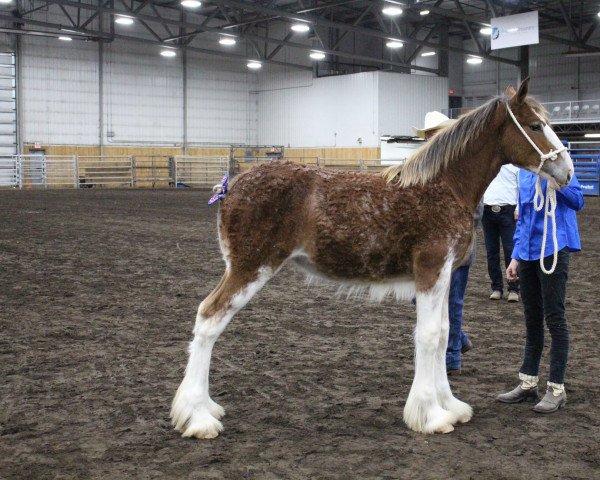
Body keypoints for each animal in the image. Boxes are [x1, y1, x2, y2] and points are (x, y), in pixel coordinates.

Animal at [172, 81, 572, 438]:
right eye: (535, 126)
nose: (567, 171)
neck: (443, 186)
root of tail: (232, 185)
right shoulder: (430, 269)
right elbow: (429, 337)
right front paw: (430, 416)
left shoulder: (443, 275)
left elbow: (445, 334)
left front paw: (450, 406)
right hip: (250, 268)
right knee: (209, 318)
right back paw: (198, 417)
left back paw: (205, 408)